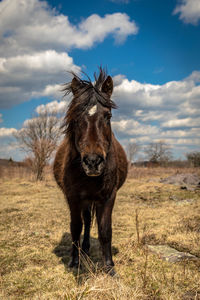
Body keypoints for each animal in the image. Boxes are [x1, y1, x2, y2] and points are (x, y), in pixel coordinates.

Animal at [53, 69, 127, 276]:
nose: (93, 162)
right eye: (76, 118)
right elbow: (76, 227)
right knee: (85, 222)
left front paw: (109, 266)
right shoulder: (73, 197)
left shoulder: (108, 196)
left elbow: (105, 230)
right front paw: (74, 261)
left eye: (108, 116)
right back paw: (84, 249)